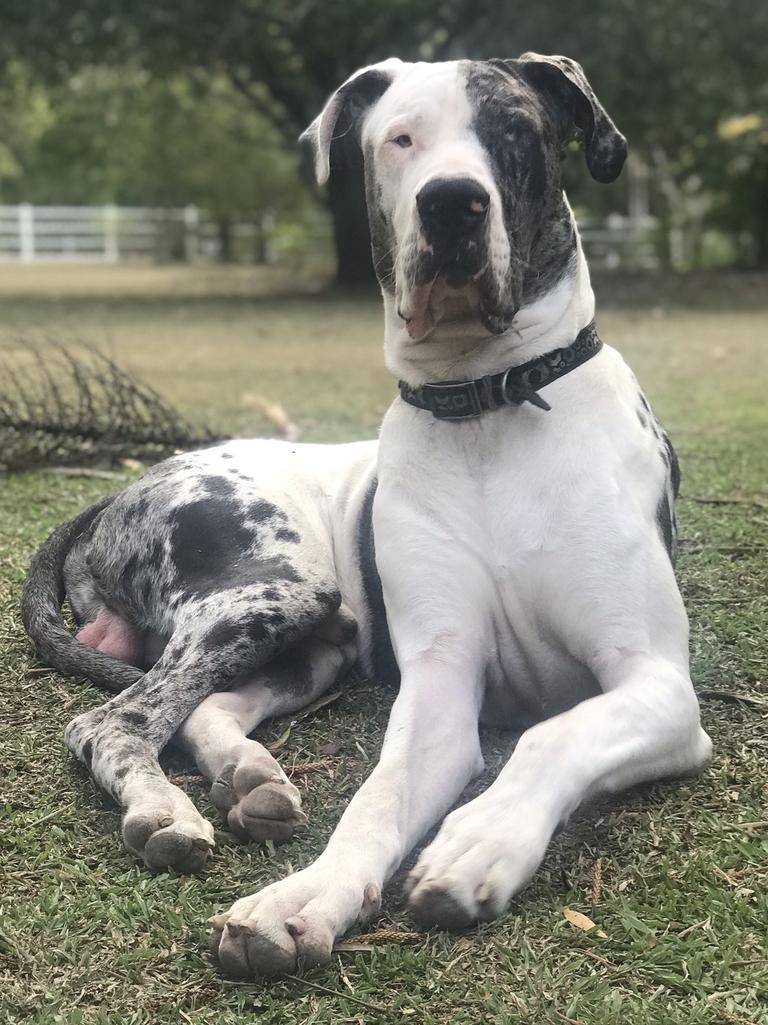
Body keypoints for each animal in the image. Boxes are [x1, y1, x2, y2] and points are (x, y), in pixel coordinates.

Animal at [19, 54, 713, 975]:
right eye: (401, 139)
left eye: (515, 130)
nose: (452, 203)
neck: (488, 407)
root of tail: (121, 488)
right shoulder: (441, 689)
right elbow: (377, 799)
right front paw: (304, 895)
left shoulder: (659, 686)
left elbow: (552, 735)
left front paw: (477, 840)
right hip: (274, 591)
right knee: (114, 719)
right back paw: (165, 808)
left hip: (314, 638)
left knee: (198, 709)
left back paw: (250, 777)